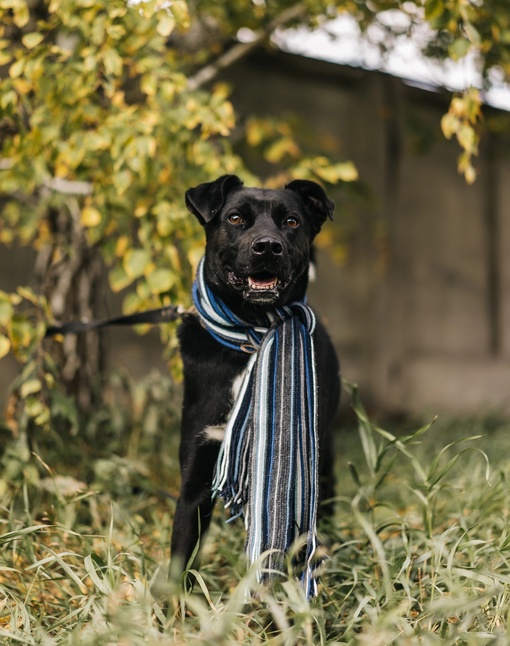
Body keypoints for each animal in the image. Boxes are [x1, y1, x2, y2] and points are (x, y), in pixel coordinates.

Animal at [169, 175, 340, 584]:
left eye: (291, 221)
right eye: (235, 218)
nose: (267, 247)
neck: (250, 335)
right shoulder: (195, 479)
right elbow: (181, 558)